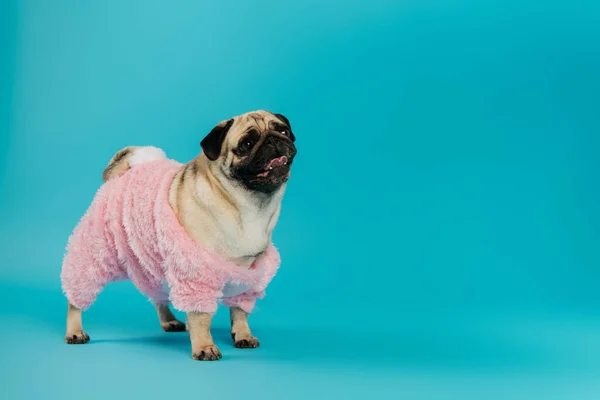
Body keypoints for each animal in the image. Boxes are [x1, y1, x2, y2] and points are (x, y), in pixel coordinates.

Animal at [61, 109, 296, 360]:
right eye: (246, 144)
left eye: (283, 131)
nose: (273, 140)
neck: (248, 204)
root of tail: (122, 174)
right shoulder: (196, 273)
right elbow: (201, 316)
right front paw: (204, 346)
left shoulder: (248, 275)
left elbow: (240, 310)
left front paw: (243, 334)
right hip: (94, 253)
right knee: (76, 296)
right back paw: (75, 331)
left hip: (149, 262)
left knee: (157, 295)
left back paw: (169, 321)